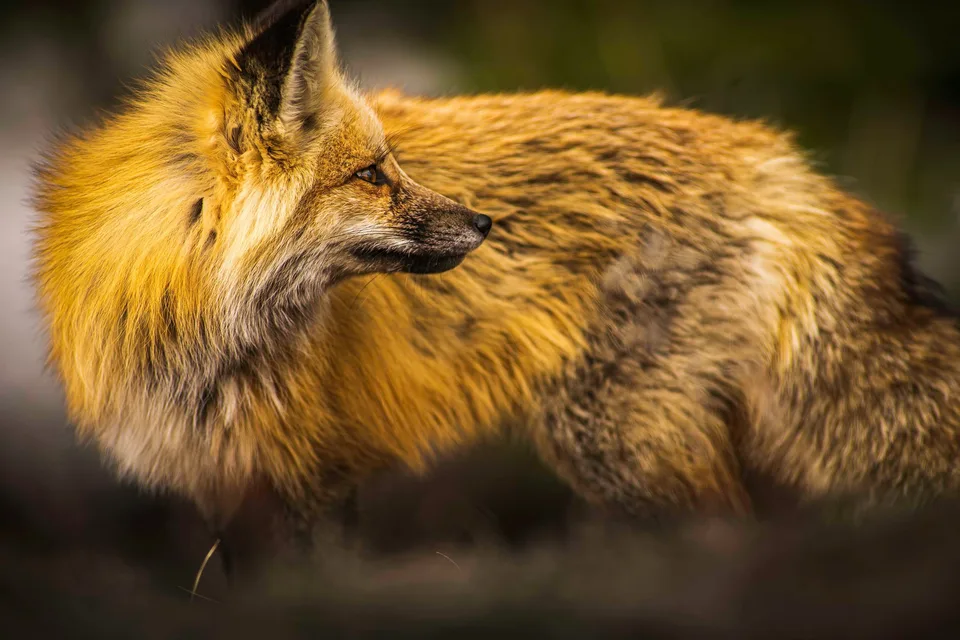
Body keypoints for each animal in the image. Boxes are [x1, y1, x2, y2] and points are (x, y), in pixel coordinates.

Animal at [31, 0, 960, 567]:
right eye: (374, 176)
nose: (485, 225)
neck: (195, 332)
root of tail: (777, 157)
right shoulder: (224, 483)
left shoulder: (310, 474)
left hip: (619, 443)